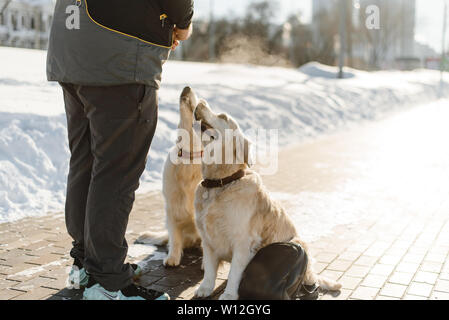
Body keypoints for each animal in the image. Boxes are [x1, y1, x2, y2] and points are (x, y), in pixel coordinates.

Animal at [192, 99, 340, 300]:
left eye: (222, 116)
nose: (200, 102)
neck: (220, 183)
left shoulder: (243, 241)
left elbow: (234, 273)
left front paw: (229, 294)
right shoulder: (207, 240)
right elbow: (209, 268)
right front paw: (205, 288)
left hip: (300, 244)